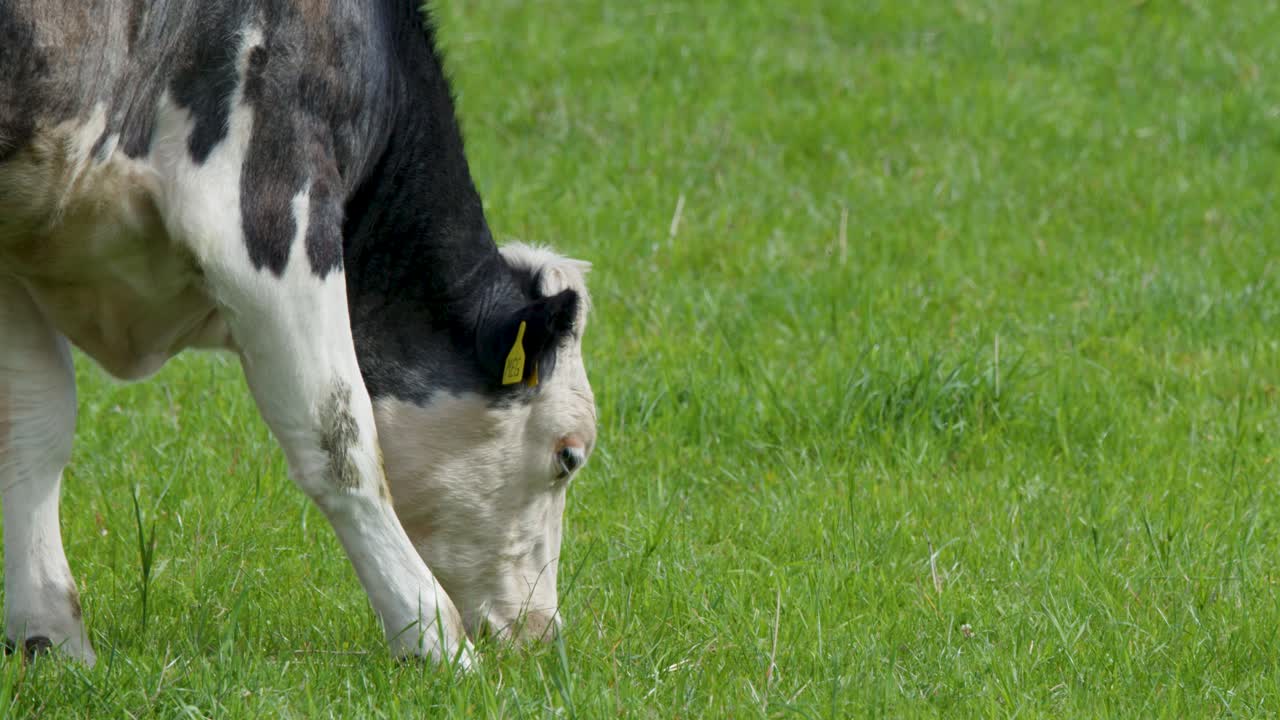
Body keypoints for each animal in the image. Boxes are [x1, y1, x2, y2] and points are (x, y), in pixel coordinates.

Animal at [0, 1, 597, 667]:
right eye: (568, 456)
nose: (544, 630)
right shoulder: (264, 211)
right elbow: (341, 439)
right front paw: (435, 642)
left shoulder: (13, 253)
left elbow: (34, 430)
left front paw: (50, 640)